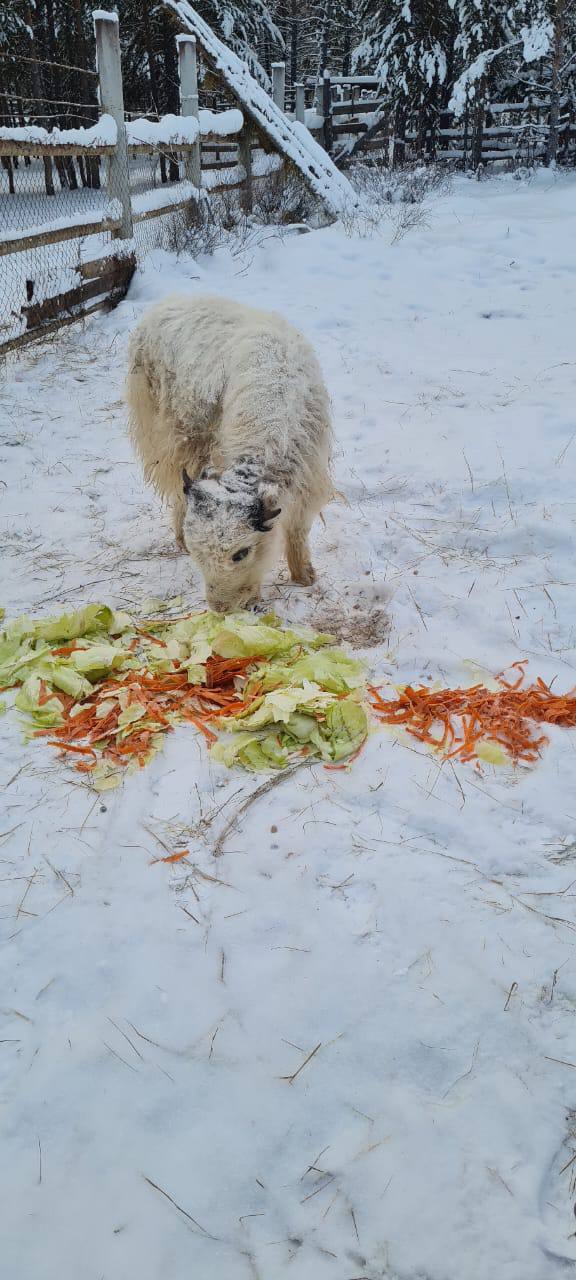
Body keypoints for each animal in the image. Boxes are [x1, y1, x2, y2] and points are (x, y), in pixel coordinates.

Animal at [126, 293, 332, 611]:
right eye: (199, 554)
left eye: (241, 553)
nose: (220, 608)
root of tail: (165, 303)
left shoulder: (309, 480)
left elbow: (298, 529)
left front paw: (304, 577)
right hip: (171, 431)